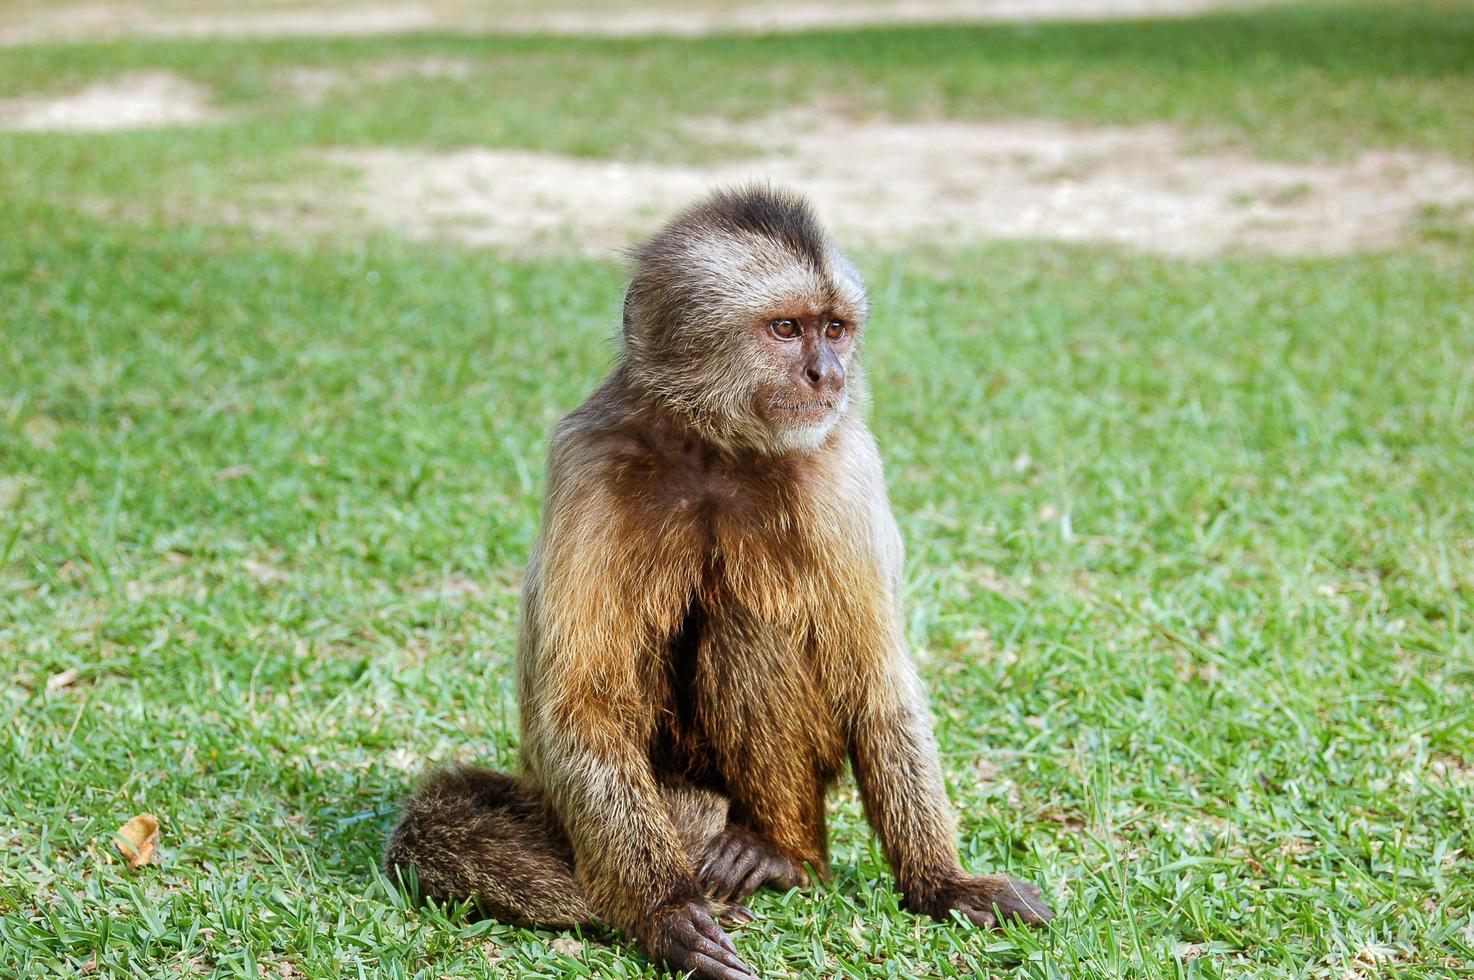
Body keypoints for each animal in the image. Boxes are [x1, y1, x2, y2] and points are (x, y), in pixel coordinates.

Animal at [386, 187, 1055, 972]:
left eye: (834, 329)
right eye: (786, 329)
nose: (829, 375)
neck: (715, 448)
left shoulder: (843, 465)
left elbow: (877, 685)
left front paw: (941, 882)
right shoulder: (589, 461)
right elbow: (579, 707)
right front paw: (664, 910)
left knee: (750, 622)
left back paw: (778, 851)